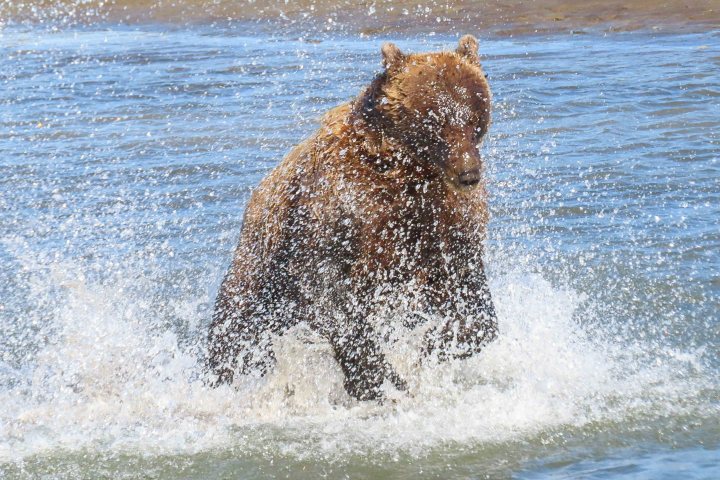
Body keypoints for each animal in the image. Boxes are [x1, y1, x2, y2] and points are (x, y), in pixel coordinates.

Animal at [207, 35, 498, 401]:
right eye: (433, 120)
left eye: (475, 116)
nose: (468, 173)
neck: (409, 173)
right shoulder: (341, 207)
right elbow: (326, 287)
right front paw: (380, 378)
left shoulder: (445, 223)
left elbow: (471, 301)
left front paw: (435, 347)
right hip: (258, 270)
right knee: (233, 334)